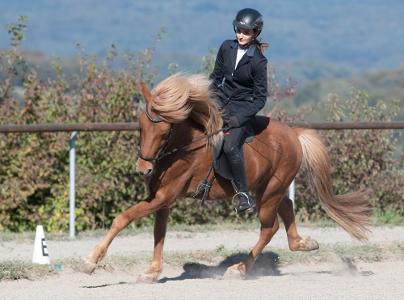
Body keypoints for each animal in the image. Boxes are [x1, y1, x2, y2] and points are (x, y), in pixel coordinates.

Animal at [79, 72, 372, 282]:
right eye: (141, 126)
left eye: (165, 131)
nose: (144, 169)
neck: (182, 148)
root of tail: (293, 134)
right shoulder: (161, 199)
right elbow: (159, 233)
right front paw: (152, 272)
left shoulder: (162, 197)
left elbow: (122, 218)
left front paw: (90, 262)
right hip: (269, 187)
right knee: (287, 209)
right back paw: (303, 243)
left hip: (269, 193)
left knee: (269, 228)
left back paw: (239, 269)